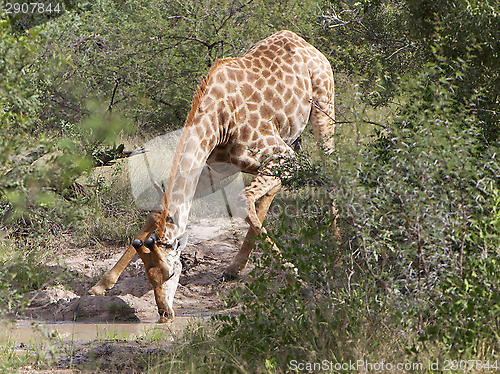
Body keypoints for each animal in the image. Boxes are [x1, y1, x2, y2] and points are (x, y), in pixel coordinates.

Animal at [90, 30, 336, 322]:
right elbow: (158, 211)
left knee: (331, 172)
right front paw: (101, 284)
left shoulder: (283, 156)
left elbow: (241, 200)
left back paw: (337, 249)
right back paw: (233, 268)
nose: (164, 314)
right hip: (282, 144)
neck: (218, 122)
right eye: (149, 277)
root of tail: (303, 41)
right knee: (273, 190)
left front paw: (300, 283)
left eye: (171, 273)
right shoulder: (214, 169)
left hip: (323, 110)